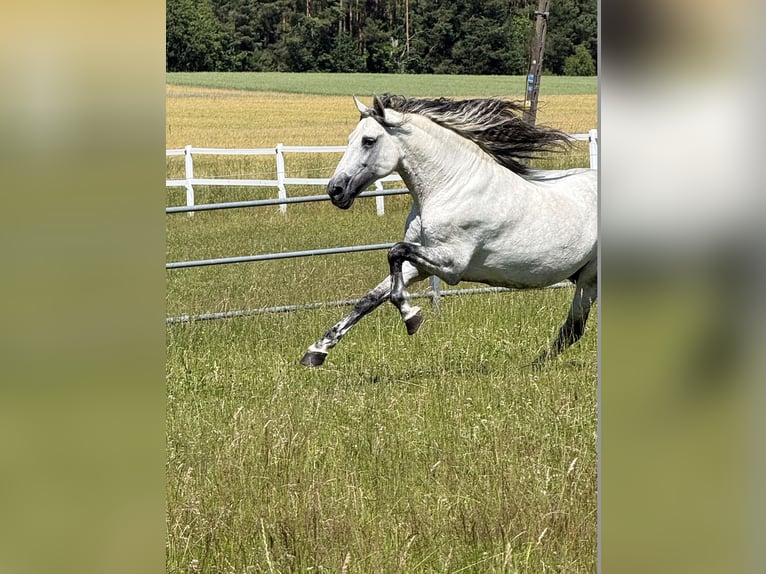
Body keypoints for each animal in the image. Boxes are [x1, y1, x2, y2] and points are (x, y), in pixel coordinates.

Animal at [300, 94, 597, 368]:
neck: (451, 187)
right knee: (574, 328)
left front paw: (412, 318)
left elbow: (395, 253)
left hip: (590, 278)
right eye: (351, 138)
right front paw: (316, 351)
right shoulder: (420, 265)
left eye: (368, 140)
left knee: (574, 327)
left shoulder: (451, 265)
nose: (335, 190)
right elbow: (369, 298)